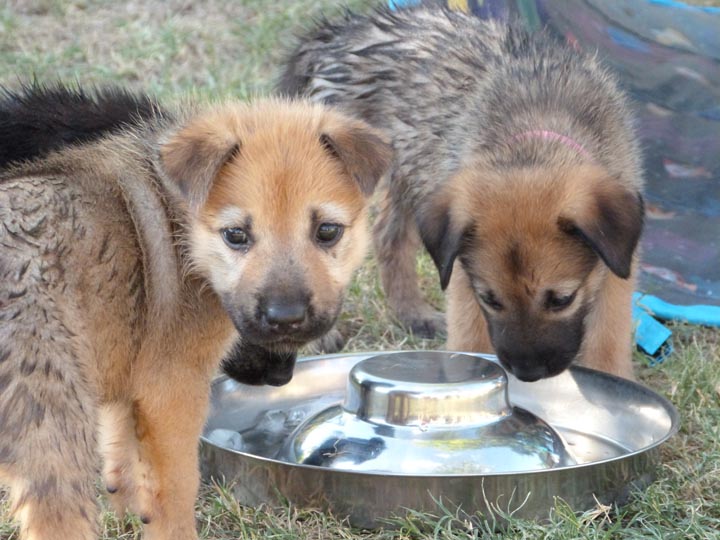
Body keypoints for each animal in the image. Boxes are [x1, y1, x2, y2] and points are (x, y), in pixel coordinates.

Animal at [0, 84, 390, 540]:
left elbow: (122, 449)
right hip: (52, 429)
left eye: (327, 231)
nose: (285, 321)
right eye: (235, 235)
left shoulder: (129, 377)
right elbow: (177, 486)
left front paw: (127, 506)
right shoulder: (174, 388)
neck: (181, 223)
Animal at [280, 6, 640, 382]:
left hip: (410, 176)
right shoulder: (462, 277)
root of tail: (335, 34)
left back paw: (413, 313)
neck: (535, 140)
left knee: (388, 237)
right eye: (491, 299)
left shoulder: (618, 265)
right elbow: (470, 338)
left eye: (561, 300)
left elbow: (609, 337)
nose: (526, 373)